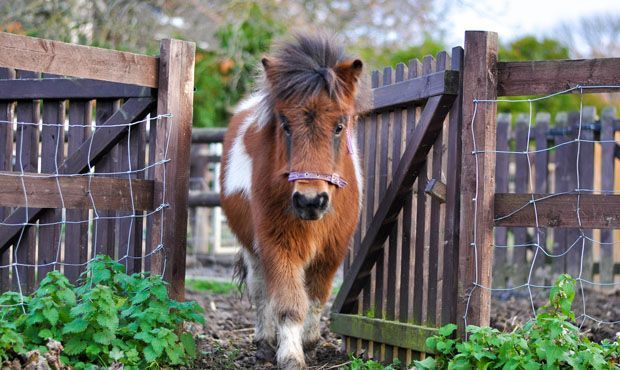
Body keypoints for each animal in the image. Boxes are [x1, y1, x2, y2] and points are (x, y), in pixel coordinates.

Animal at [220, 33, 366, 368]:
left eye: (340, 126)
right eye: (285, 124)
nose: (310, 201)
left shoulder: (331, 252)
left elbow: (315, 299)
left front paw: (309, 344)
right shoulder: (277, 246)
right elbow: (288, 303)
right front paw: (290, 355)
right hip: (252, 249)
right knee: (260, 291)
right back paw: (264, 342)